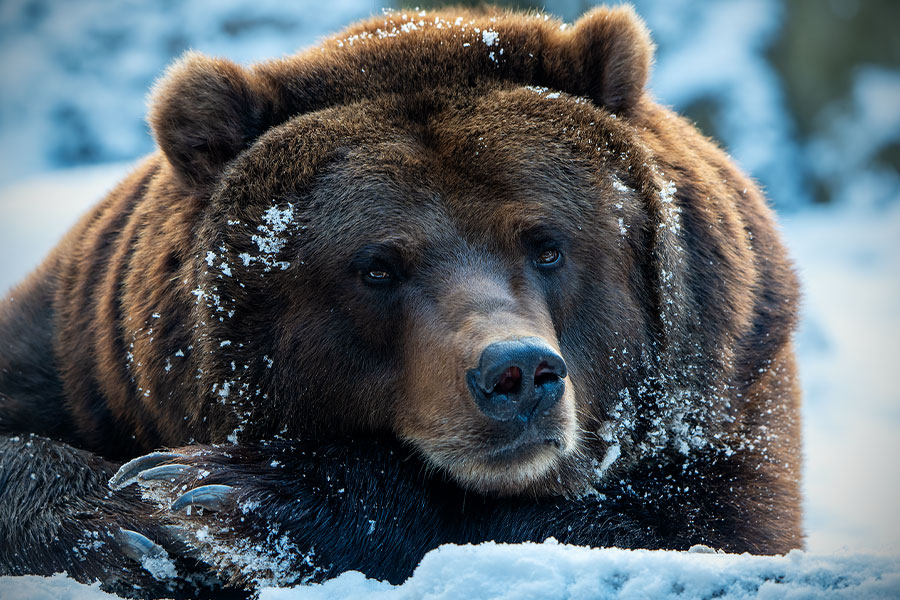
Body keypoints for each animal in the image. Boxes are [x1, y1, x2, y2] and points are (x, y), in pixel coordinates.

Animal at [0, 5, 803, 598]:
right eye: (378, 267)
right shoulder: (85, 355)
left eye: (547, 244)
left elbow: (690, 530)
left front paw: (225, 493)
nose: (517, 374)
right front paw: (130, 521)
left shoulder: (732, 386)